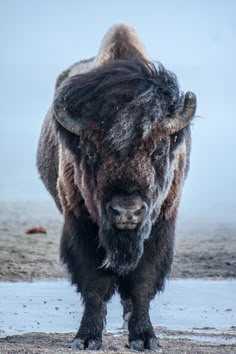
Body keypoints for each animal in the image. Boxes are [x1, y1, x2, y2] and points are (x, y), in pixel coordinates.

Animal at [36, 24, 195, 352]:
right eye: (90, 150)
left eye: (159, 149)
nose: (127, 212)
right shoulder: (81, 224)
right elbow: (95, 285)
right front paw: (86, 338)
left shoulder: (160, 225)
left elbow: (142, 283)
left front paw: (145, 338)